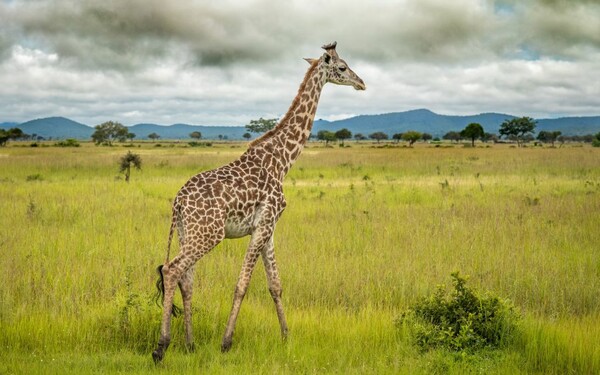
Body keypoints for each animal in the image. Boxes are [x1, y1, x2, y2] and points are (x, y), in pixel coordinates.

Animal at [150, 41, 366, 364]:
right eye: (342, 67)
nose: (361, 83)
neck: (281, 160)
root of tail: (177, 202)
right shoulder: (264, 225)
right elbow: (242, 285)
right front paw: (226, 343)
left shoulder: (268, 228)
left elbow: (275, 284)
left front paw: (287, 338)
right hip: (209, 234)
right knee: (171, 270)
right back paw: (161, 346)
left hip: (188, 232)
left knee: (186, 280)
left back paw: (189, 344)